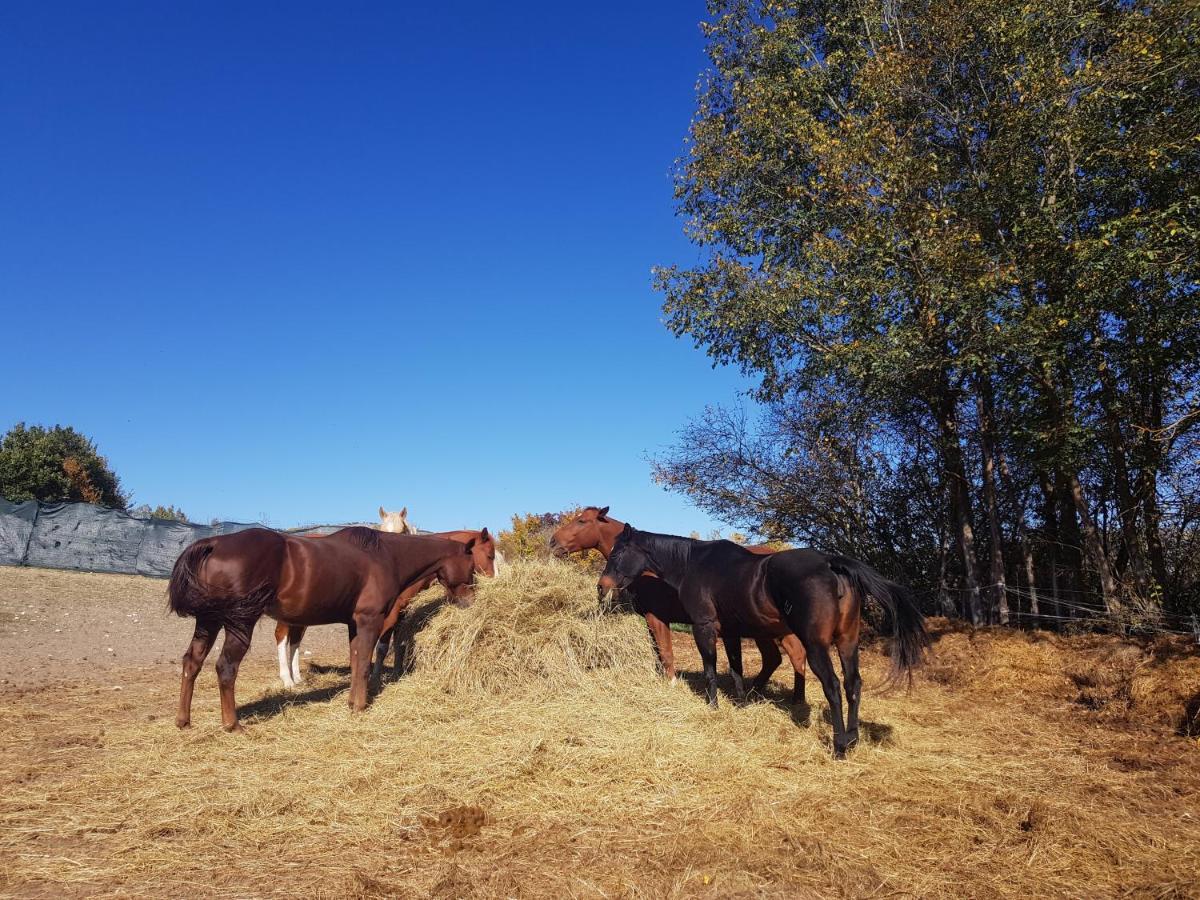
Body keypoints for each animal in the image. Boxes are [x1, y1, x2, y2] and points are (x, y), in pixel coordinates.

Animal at [274, 525, 494, 686]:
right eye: (490, 556)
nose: (492, 583)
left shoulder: (401, 612)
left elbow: (398, 644)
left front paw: (395, 672)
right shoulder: (387, 614)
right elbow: (380, 646)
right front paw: (373, 677)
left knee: (295, 640)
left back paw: (297, 677)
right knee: (282, 636)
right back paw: (287, 680)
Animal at [549, 508, 811, 705]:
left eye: (582, 520)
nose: (552, 542)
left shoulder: (657, 618)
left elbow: (666, 652)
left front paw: (672, 683)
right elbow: (657, 652)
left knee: (790, 654)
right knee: (778, 657)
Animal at [600, 525, 926, 758]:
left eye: (616, 554)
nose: (602, 586)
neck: (693, 563)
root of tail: (830, 563)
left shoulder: (704, 628)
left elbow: (710, 670)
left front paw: (713, 706)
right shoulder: (730, 632)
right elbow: (736, 669)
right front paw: (741, 703)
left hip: (817, 645)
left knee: (833, 686)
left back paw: (839, 746)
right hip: (847, 642)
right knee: (852, 685)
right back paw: (853, 738)